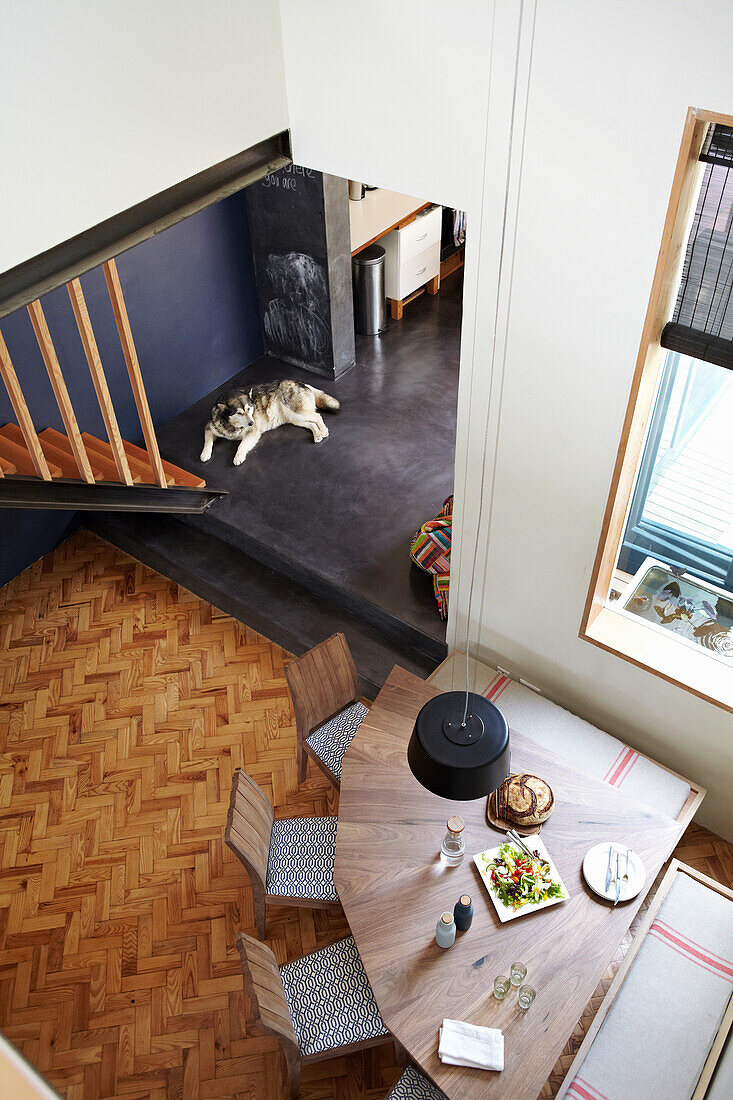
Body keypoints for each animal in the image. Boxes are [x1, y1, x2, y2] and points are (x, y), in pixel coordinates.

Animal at [198, 380, 338, 466]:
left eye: (249, 409)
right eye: (239, 413)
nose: (252, 422)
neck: (233, 426)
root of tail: (300, 382)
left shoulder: (253, 432)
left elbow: (241, 445)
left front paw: (238, 457)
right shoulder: (209, 427)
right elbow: (207, 441)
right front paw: (205, 454)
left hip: (298, 411)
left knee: (318, 416)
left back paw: (323, 430)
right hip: (295, 419)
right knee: (312, 424)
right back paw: (317, 434)